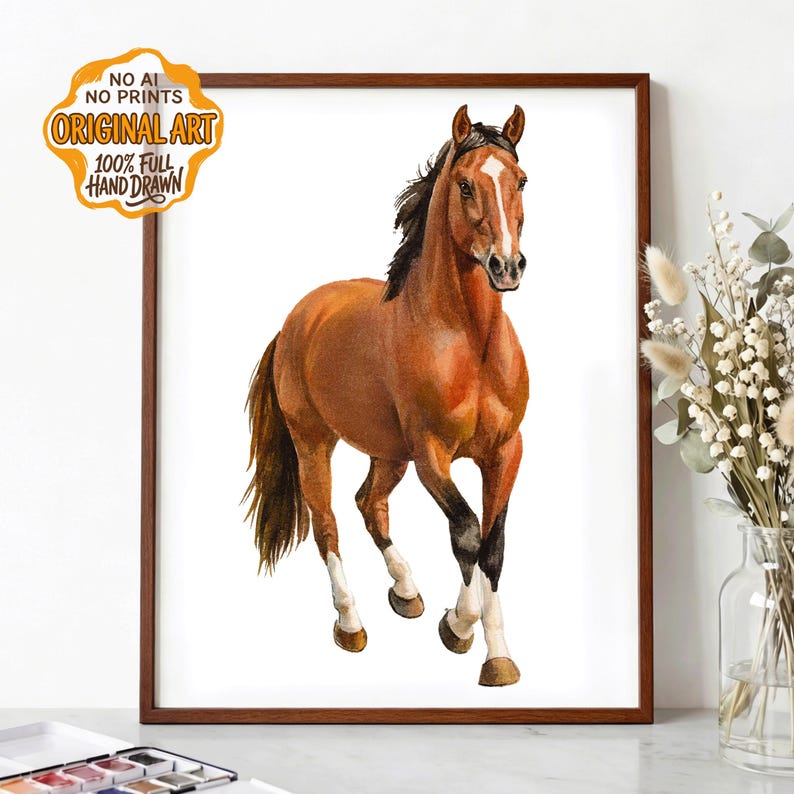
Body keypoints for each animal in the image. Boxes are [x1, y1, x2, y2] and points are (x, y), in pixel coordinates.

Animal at [244, 104, 529, 687]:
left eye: (521, 180)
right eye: (465, 184)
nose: (506, 267)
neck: (468, 342)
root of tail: (294, 322)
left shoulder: (505, 452)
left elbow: (493, 547)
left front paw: (498, 657)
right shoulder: (431, 455)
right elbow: (467, 533)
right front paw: (458, 627)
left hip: (388, 452)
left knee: (369, 504)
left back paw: (407, 592)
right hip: (315, 444)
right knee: (327, 524)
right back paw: (350, 623)